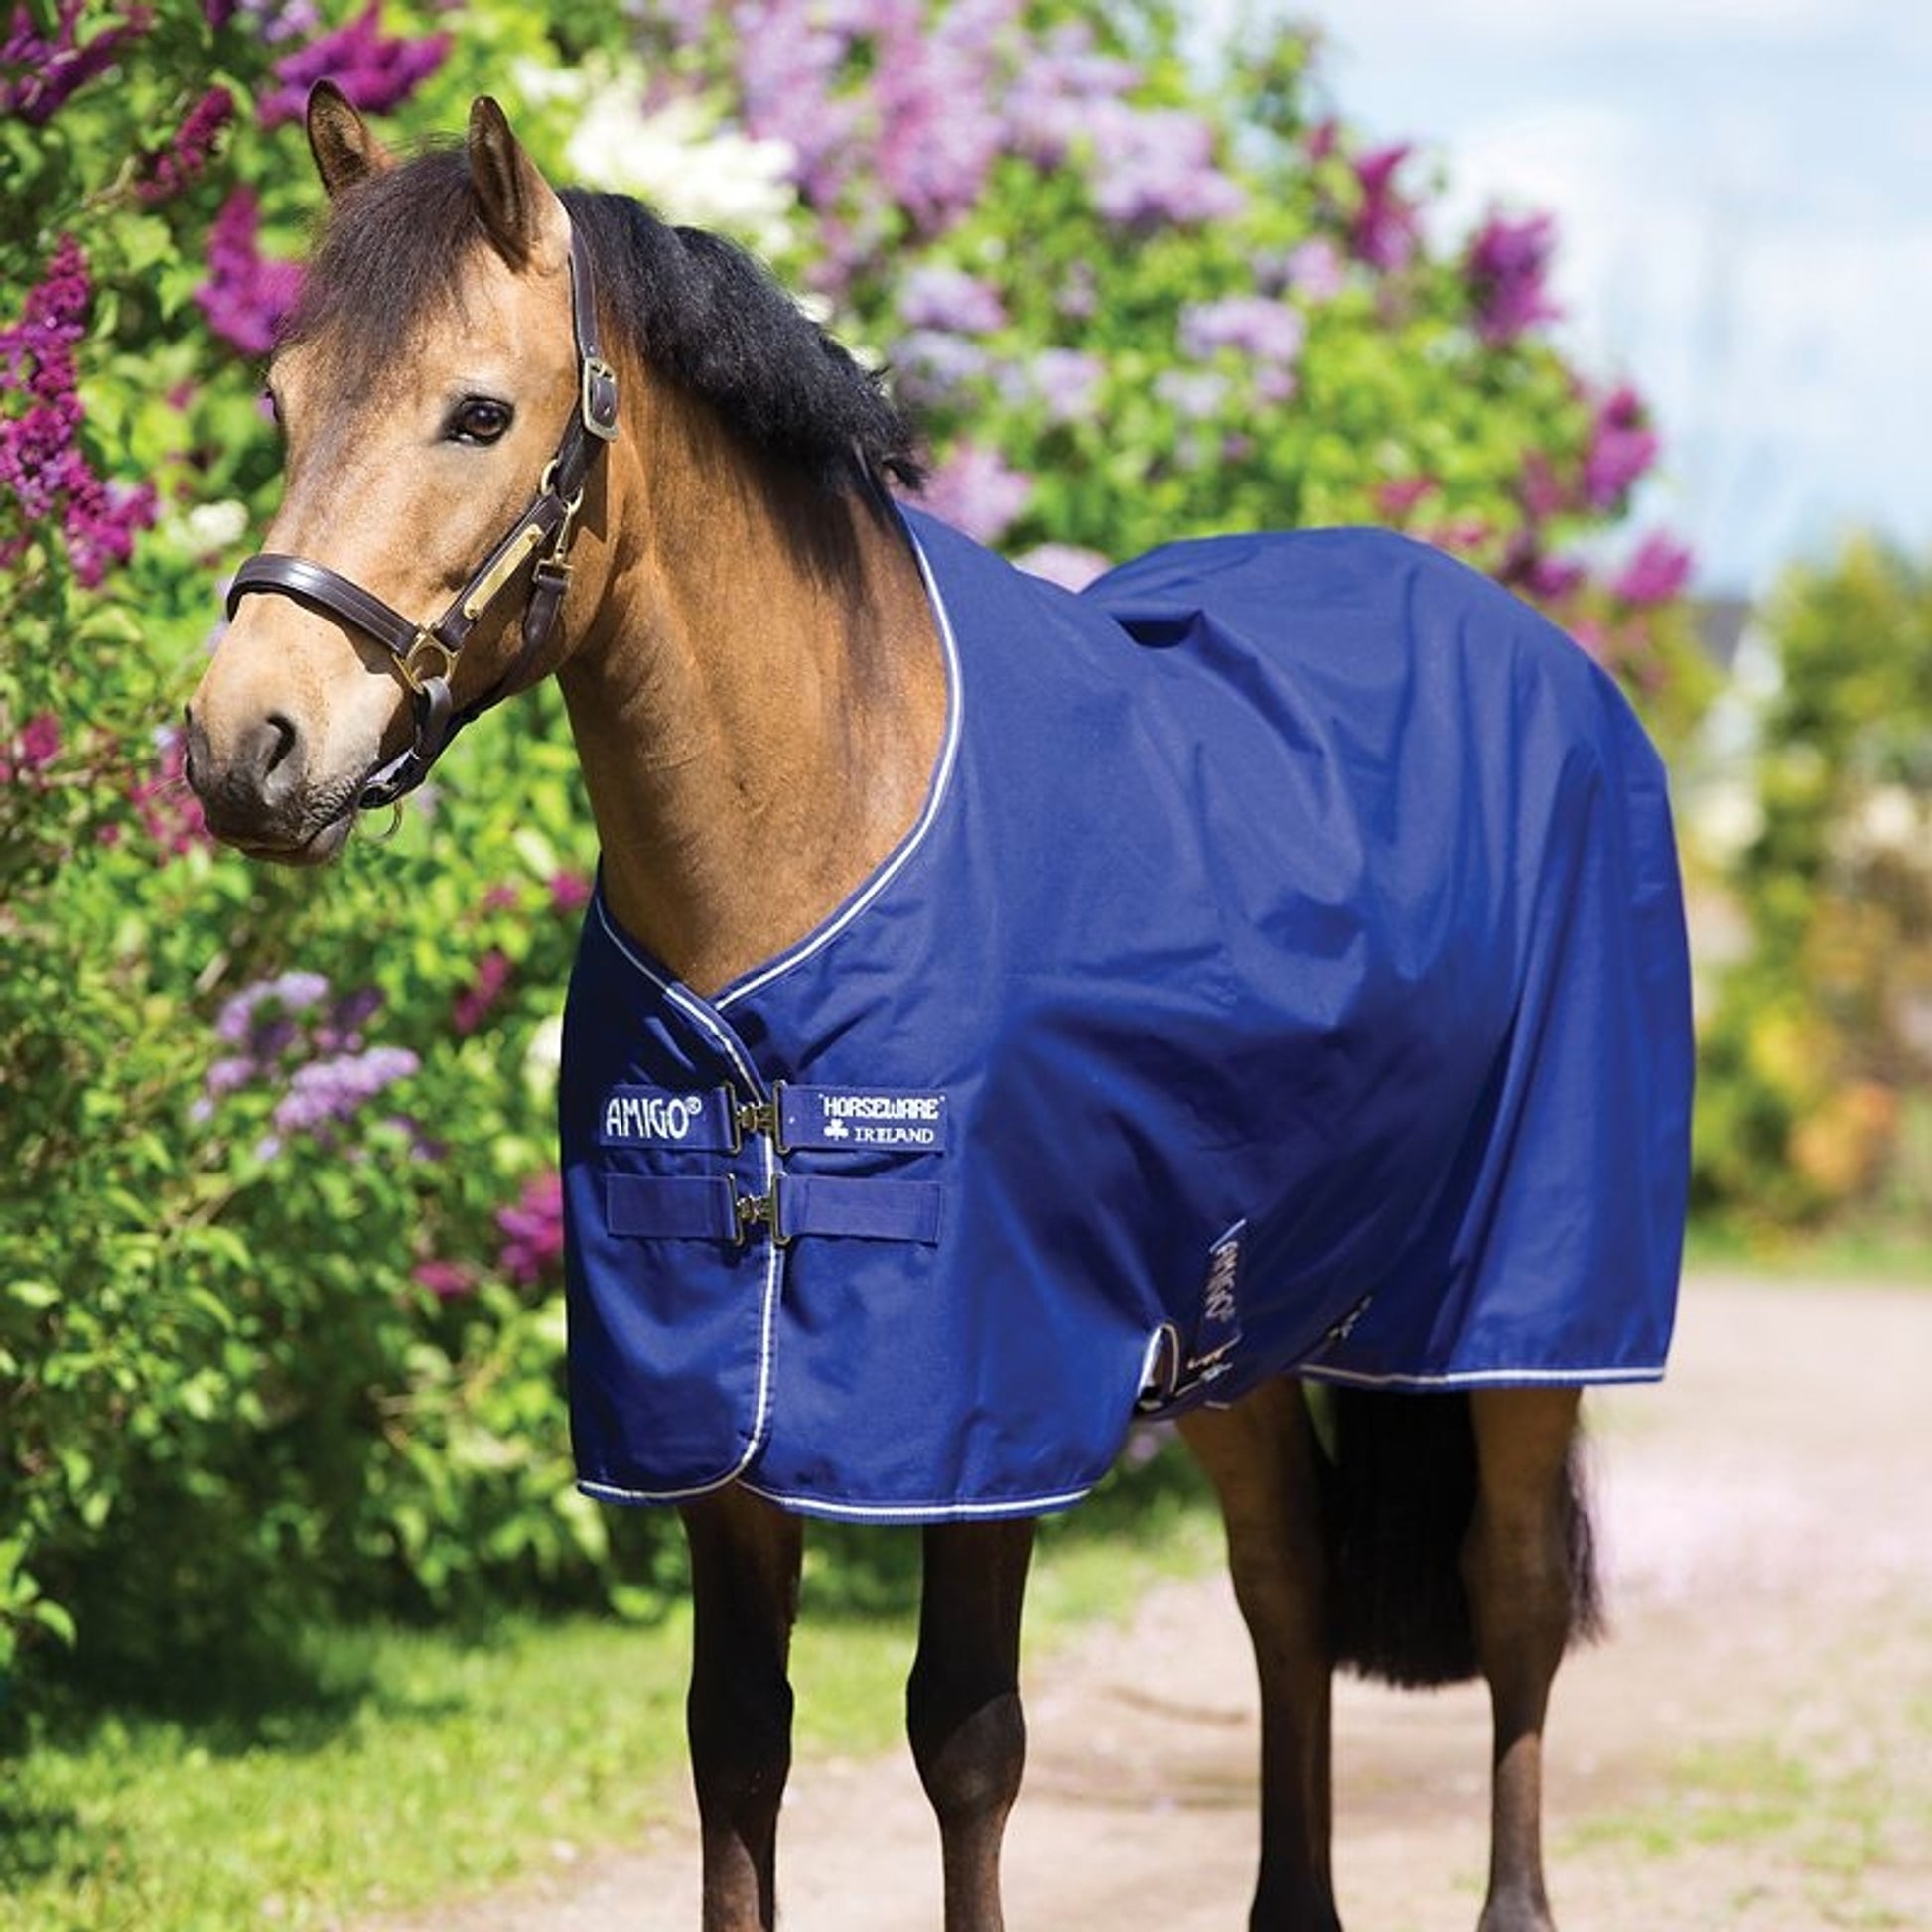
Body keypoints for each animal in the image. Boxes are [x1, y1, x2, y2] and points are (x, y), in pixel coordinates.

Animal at [184, 85, 1692, 1932]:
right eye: (281, 399)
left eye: (477, 412)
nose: (245, 741)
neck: (821, 830)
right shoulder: (715, 1409)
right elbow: (734, 1739)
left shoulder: (989, 1398)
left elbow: (965, 1738)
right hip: (1243, 1321)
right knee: (1285, 1586)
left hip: (1520, 1311)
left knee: (1514, 1591)